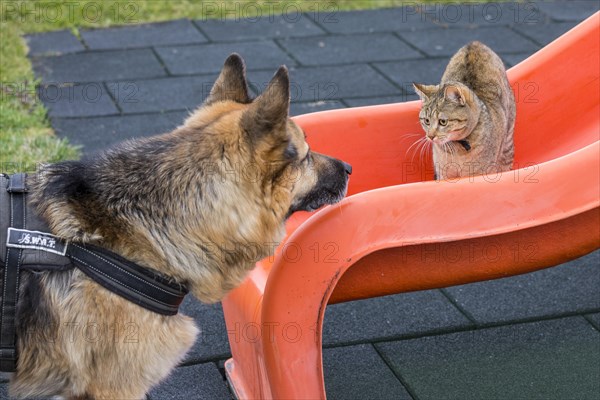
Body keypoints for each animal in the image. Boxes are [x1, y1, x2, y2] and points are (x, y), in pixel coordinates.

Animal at [412, 40, 516, 180]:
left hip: (507, 147)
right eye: (427, 121)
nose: (431, 136)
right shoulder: (443, 175)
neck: (458, 149)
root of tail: (475, 43)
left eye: (443, 122)